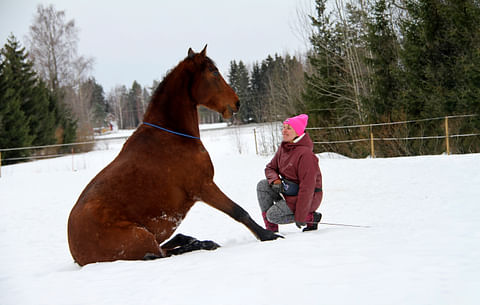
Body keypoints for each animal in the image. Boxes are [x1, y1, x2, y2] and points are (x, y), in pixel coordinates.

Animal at [67, 46, 282, 264]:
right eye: (213, 71)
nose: (237, 103)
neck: (173, 135)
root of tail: (76, 252)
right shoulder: (203, 187)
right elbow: (238, 211)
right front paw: (268, 235)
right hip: (141, 238)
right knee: (160, 254)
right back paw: (204, 244)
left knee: (169, 245)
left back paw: (196, 240)